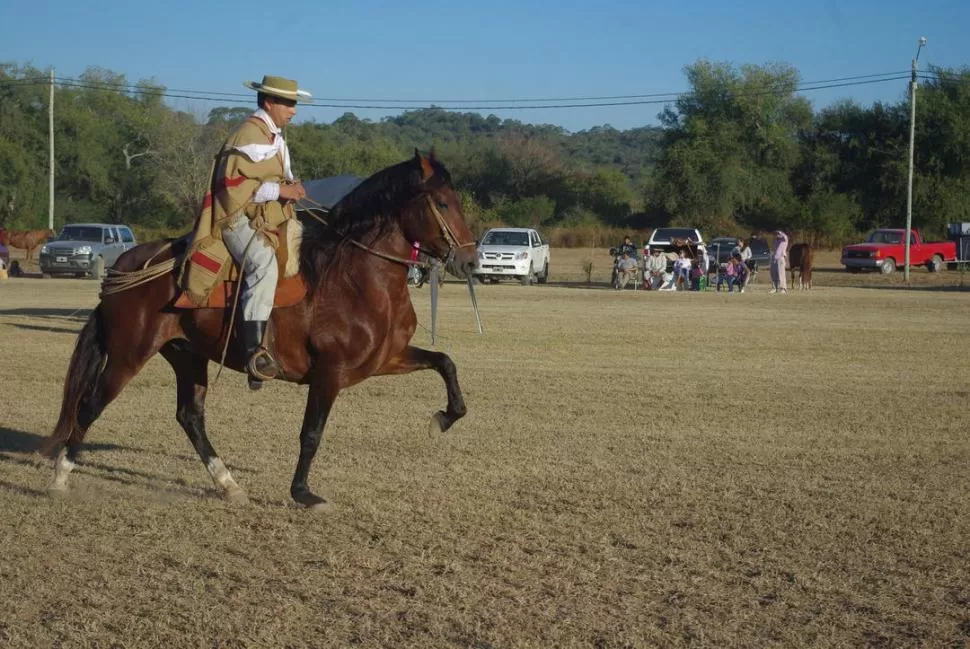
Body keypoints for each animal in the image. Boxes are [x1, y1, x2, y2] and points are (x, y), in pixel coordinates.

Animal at [42, 149, 480, 508]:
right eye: (443, 202)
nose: (471, 261)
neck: (354, 278)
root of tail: (127, 264)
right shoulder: (330, 373)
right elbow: (311, 433)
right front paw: (303, 493)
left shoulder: (386, 358)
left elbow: (446, 363)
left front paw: (443, 418)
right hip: (129, 354)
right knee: (90, 404)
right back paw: (61, 476)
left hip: (187, 356)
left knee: (190, 417)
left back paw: (229, 485)